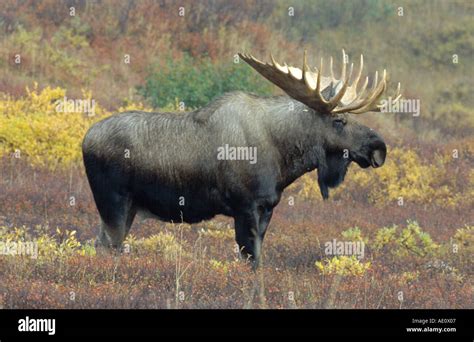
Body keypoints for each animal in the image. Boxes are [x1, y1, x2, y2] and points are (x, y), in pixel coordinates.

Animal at [82, 50, 400, 268]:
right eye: (339, 121)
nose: (378, 148)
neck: (283, 156)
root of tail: (84, 140)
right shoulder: (245, 205)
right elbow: (251, 259)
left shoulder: (267, 207)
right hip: (113, 203)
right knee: (106, 245)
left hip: (127, 208)